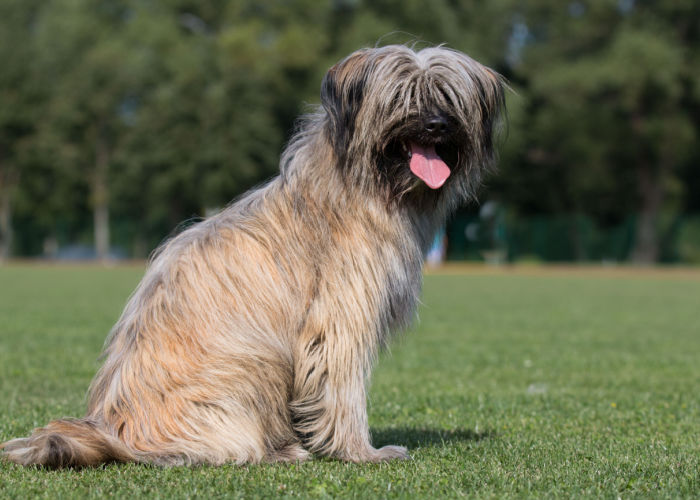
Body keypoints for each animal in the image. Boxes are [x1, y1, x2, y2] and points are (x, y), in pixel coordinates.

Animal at [0, 45, 504, 466]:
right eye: (402, 96)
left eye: (446, 95)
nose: (436, 125)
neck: (362, 185)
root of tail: (114, 429)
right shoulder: (338, 321)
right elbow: (342, 389)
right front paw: (362, 452)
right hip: (253, 363)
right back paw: (280, 451)